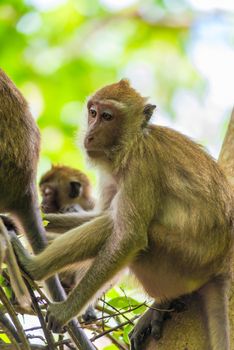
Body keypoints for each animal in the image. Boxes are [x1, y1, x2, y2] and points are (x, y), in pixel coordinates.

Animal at [12, 80, 234, 350]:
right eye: (93, 112)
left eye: (108, 117)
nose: (90, 135)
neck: (132, 143)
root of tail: (221, 266)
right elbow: (102, 215)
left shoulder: (141, 166)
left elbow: (129, 238)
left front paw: (66, 310)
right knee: (111, 222)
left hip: (182, 262)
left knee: (123, 230)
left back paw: (32, 267)